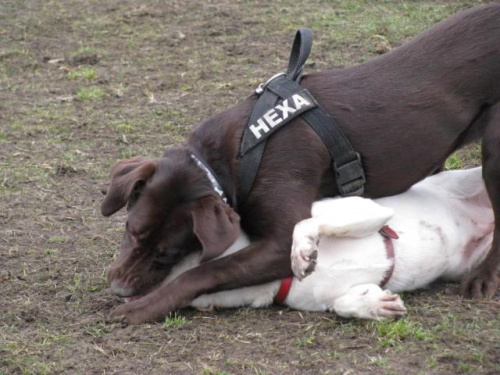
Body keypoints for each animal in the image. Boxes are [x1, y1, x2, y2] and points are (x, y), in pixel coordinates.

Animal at [165, 167, 492, 320]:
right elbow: (342, 304)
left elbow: (308, 224)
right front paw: (375, 305)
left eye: (175, 256)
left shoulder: (368, 209)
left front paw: (302, 251)